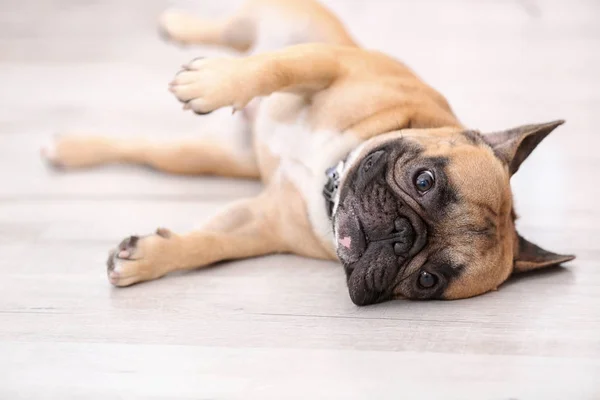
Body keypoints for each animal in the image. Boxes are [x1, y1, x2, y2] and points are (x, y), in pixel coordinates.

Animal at [42, 0, 572, 304]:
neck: (329, 176)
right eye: (424, 181)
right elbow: (273, 68)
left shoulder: (261, 225)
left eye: (427, 281)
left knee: (156, 152)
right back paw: (179, 27)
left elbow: (212, 243)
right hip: (279, 21)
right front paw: (213, 83)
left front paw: (148, 259)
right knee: (234, 34)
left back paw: (68, 148)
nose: (401, 235)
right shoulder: (329, 63)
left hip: (218, 158)